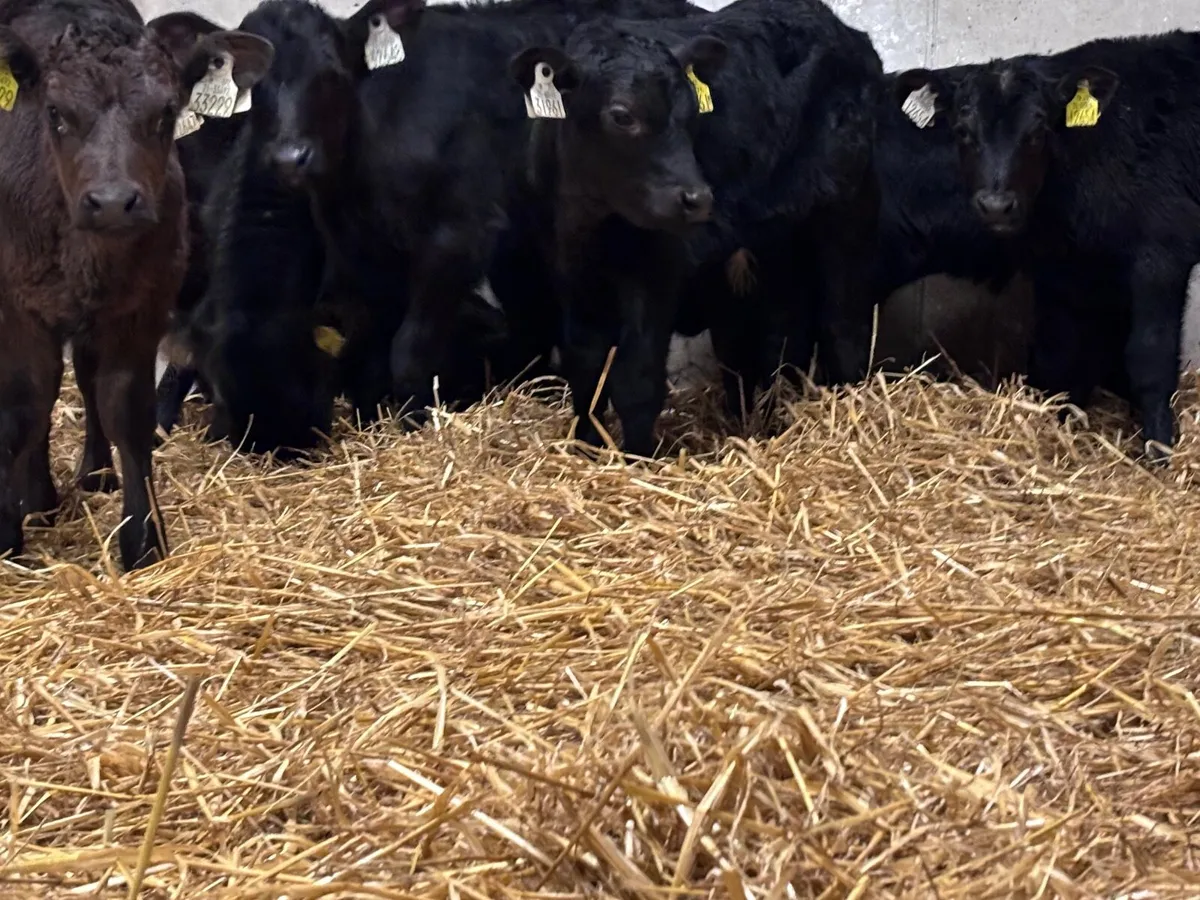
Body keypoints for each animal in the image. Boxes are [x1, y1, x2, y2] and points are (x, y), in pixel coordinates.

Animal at [0, 0, 273, 570]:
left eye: (166, 112)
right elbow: (21, 408)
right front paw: (8, 529)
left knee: (82, 377)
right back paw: (38, 496)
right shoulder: (16, 308)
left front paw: (143, 539)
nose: (111, 202)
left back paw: (91, 474)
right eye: (54, 112)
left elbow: (126, 409)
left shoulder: (140, 308)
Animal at [511, 0, 884, 457]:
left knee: (844, 321)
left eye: (692, 114)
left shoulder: (657, 271)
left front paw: (636, 457)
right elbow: (586, 371)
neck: (589, 224)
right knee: (780, 336)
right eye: (622, 116)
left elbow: (637, 379)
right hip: (777, 238)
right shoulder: (570, 277)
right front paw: (587, 448)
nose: (698, 198)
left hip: (849, 207)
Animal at [899, 31, 1200, 461]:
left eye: (1038, 133)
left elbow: (1149, 357)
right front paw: (1060, 424)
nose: (996, 205)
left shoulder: (1162, 254)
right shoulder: (1062, 269)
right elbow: (1061, 355)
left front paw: (1158, 451)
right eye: (962, 131)